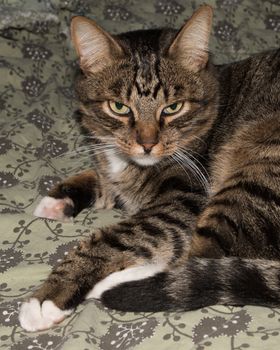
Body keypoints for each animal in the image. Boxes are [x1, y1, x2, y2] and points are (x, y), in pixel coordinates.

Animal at [18, 4, 280, 334]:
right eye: (119, 107)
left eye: (173, 107)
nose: (147, 143)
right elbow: (102, 177)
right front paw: (58, 199)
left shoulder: (182, 198)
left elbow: (113, 238)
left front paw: (47, 297)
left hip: (255, 177)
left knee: (201, 258)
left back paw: (111, 285)